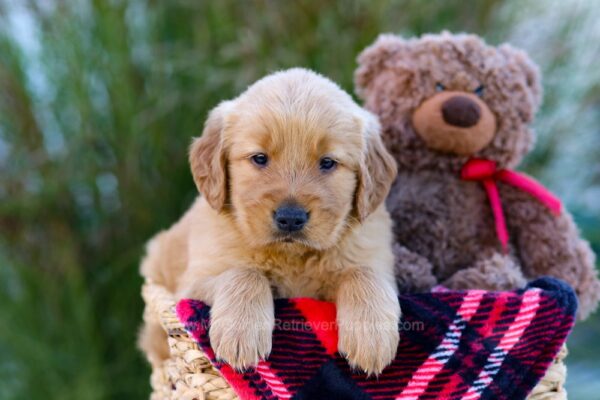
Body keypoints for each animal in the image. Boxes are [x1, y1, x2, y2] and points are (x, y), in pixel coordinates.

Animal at [139, 69, 398, 376]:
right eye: (260, 158)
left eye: (327, 162)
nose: (291, 218)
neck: (293, 257)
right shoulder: (192, 285)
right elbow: (246, 273)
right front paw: (241, 333)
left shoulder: (375, 256)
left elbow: (362, 273)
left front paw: (372, 337)